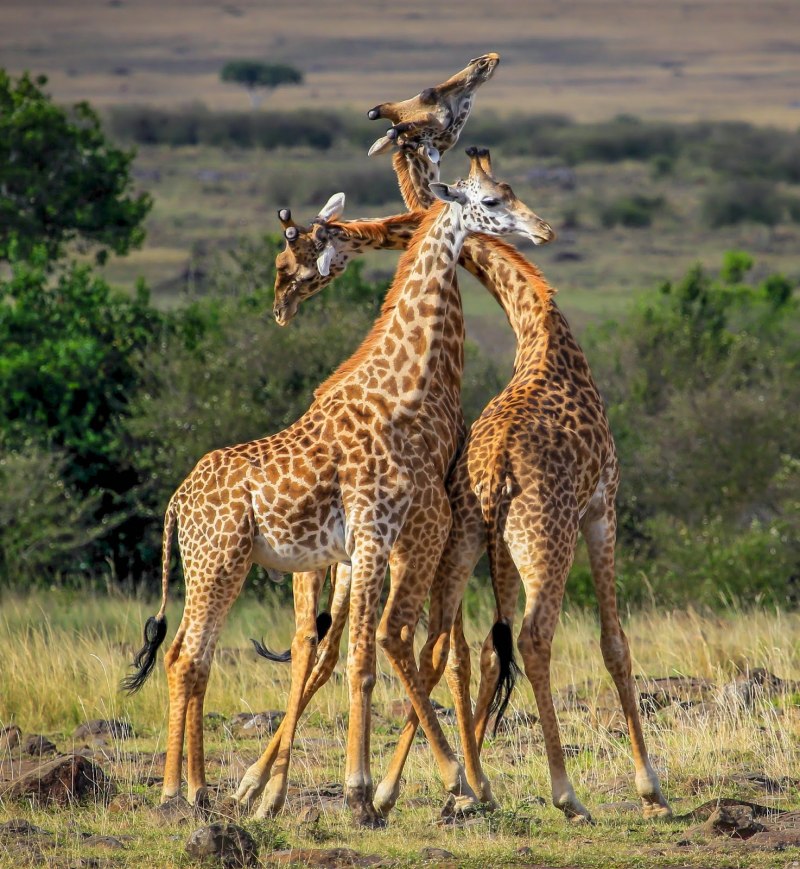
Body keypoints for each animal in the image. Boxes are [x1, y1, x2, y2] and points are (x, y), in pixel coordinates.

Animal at [123, 151, 556, 828]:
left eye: (510, 190)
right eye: (490, 200)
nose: (541, 230)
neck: (407, 387)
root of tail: (175, 502)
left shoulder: (368, 545)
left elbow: (362, 656)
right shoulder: (379, 533)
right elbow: (367, 660)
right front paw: (371, 790)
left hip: (216, 565)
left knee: (187, 657)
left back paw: (197, 791)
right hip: (219, 562)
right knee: (191, 657)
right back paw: (178, 793)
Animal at [266, 153, 672, 824]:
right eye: (495, 199)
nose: (543, 229)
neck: (539, 327)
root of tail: (499, 466)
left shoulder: (481, 541)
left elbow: (471, 650)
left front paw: (460, 784)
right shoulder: (603, 505)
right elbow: (613, 643)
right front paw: (650, 787)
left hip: (449, 541)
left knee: (344, 644)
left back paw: (289, 790)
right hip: (534, 540)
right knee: (520, 637)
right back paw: (560, 793)